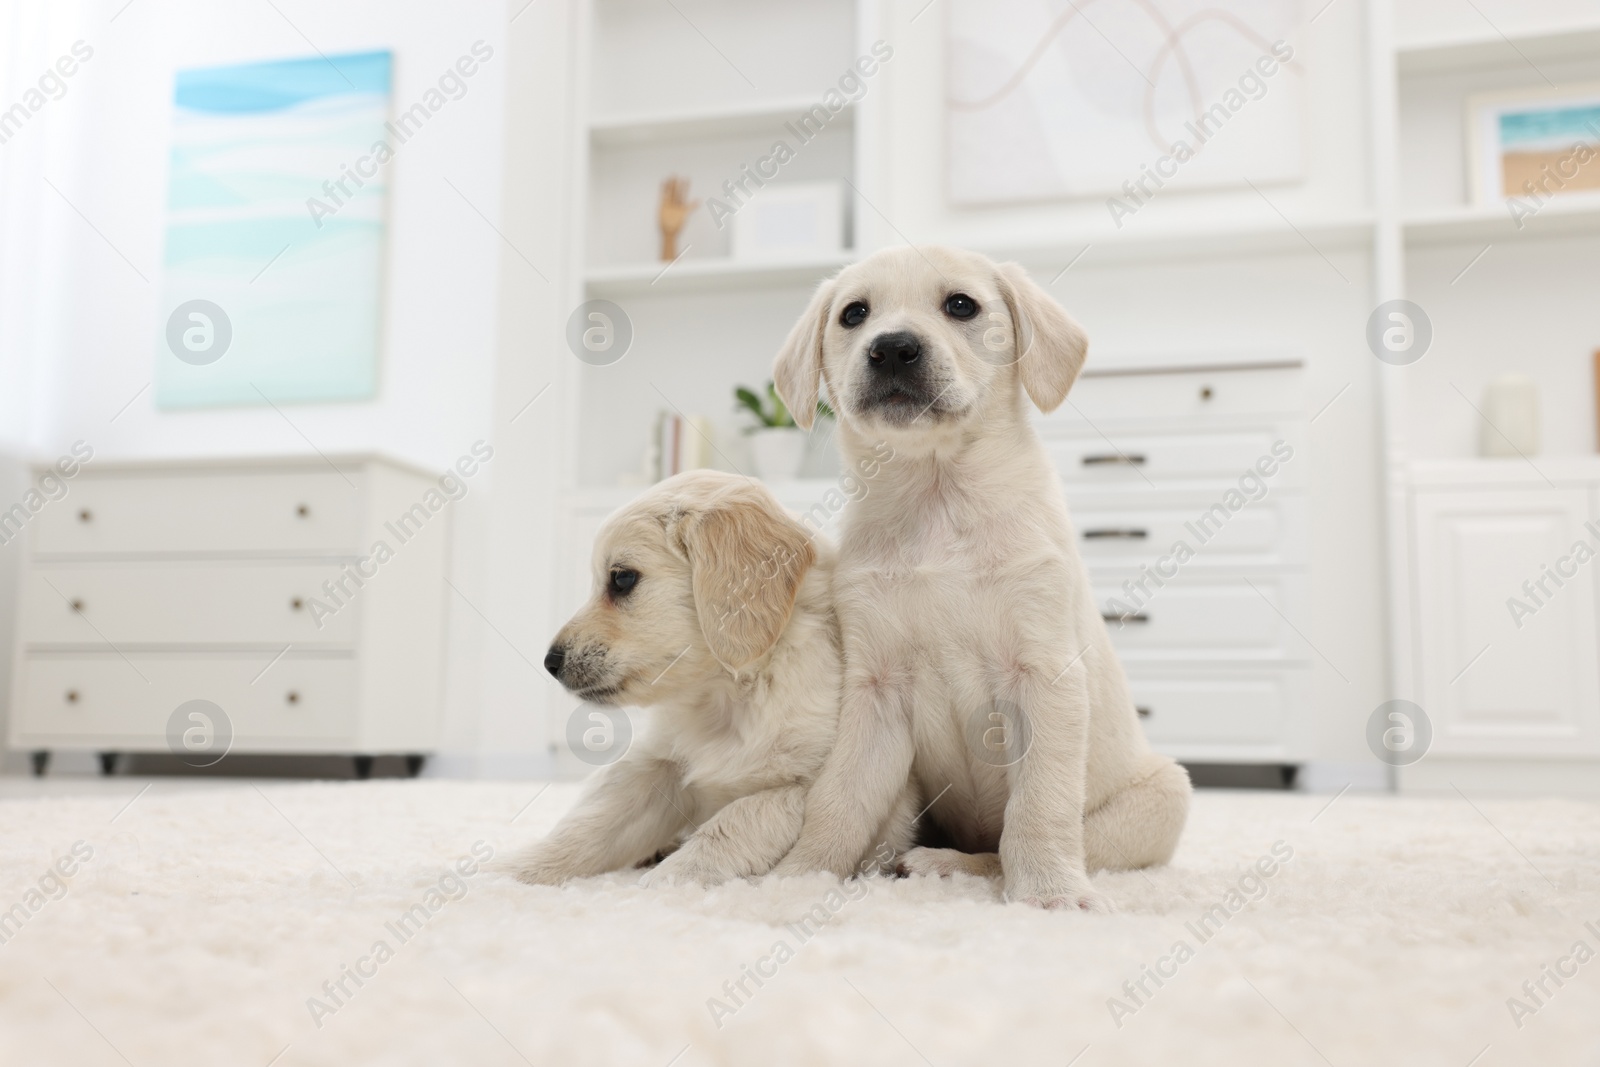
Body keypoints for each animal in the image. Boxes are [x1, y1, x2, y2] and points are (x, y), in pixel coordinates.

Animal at [518, 470, 921, 889]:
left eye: (622, 579)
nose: (550, 662)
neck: (727, 694)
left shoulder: (812, 789)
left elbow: (732, 824)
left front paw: (663, 883)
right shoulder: (656, 766)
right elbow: (590, 824)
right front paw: (513, 871)